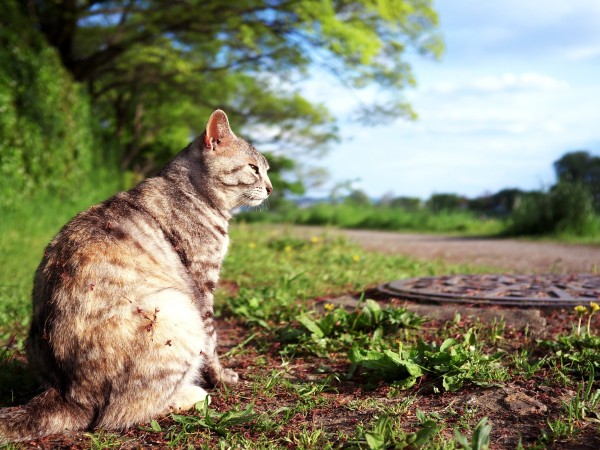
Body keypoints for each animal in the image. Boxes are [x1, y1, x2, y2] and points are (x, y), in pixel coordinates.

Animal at [0, 110, 272, 442]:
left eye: (267, 170)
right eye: (254, 168)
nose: (271, 188)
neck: (191, 192)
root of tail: (66, 393)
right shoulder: (202, 284)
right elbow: (212, 341)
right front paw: (221, 377)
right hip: (177, 309)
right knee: (125, 412)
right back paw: (192, 394)